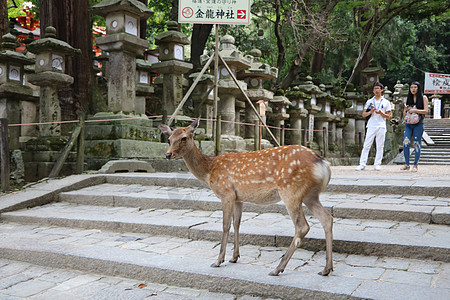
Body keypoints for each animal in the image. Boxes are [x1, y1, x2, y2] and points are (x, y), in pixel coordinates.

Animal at [159, 118, 334, 276]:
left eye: (184, 138)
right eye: (169, 138)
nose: (167, 154)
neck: (209, 171)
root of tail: (323, 164)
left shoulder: (226, 193)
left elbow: (225, 226)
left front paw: (218, 260)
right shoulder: (238, 198)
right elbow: (237, 224)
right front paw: (234, 257)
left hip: (291, 191)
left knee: (302, 226)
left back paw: (278, 268)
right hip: (310, 195)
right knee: (327, 218)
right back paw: (326, 269)